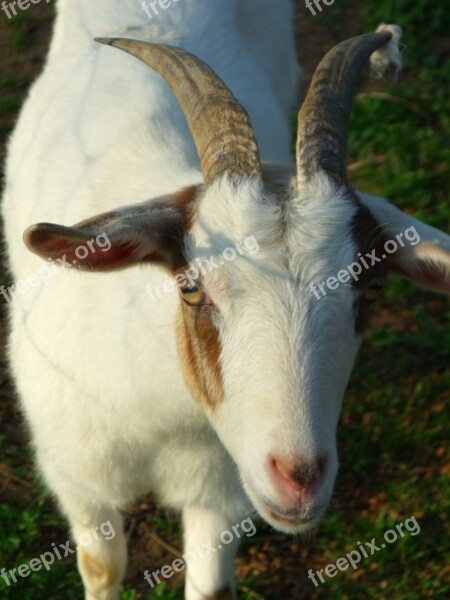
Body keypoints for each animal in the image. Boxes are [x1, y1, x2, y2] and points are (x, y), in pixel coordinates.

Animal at [0, 1, 450, 600]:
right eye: (192, 287)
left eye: (371, 286)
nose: (299, 478)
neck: (165, 418)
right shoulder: (79, 477)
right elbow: (102, 568)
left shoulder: (222, 493)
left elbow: (211, 585)